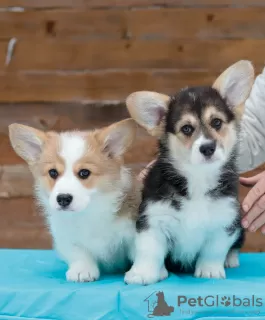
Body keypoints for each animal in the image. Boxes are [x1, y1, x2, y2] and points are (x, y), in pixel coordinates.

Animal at [8, 119, 140, 282]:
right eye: (53, 172)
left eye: (84, 173)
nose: (63, 199)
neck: (88, 211)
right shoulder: (66, 237)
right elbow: (78, 254)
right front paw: (82, 271)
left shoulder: (132, 234)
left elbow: (141, 252)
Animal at [124, 60, 254, 284]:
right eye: (186, 128)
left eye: (217, 122)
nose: (207, 148)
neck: (198, 178)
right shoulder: (153, 219)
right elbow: (149, 251)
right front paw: (142, 273)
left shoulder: (225, 221)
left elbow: (214, 250)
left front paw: (210, 270)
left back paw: (231, 259)